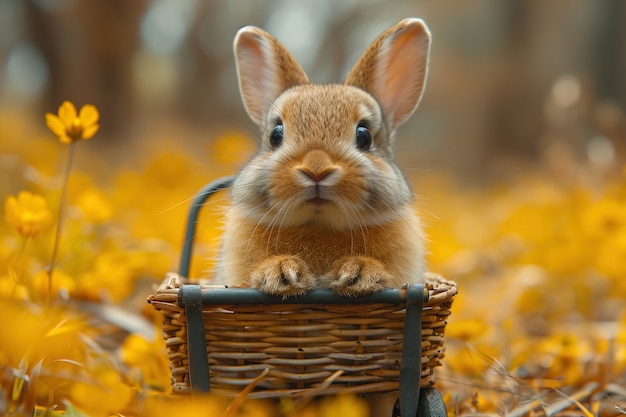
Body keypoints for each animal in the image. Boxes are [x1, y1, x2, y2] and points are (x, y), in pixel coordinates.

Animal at [212, 17, 432, 298]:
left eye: (364, 136)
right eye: (276, 134)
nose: (316, 169)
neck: (320, 225)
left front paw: (358, 273)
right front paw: (281, 272)